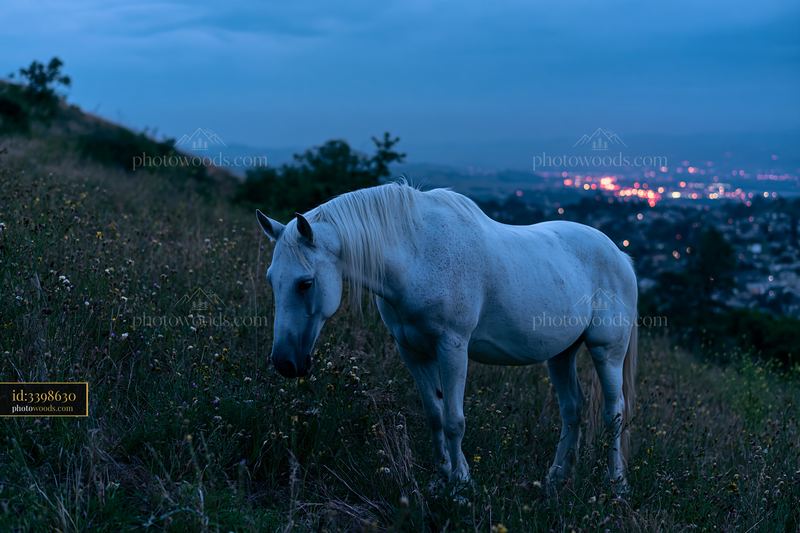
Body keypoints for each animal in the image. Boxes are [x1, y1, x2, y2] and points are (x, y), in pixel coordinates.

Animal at [256, 181, 638, 495]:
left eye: (305, 283)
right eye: (272, 279)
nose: (285, 363)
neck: (417, 255)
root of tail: (621, 255)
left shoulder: (452, 347)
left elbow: (455, 420)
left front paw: (460, 484)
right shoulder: (412, 351)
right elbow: (434, 415)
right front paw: (441, 479)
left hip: (607, 350)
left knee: (613, 412)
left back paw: (617, 485)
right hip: (561, 354)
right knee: (572, 409)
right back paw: (556, 479)